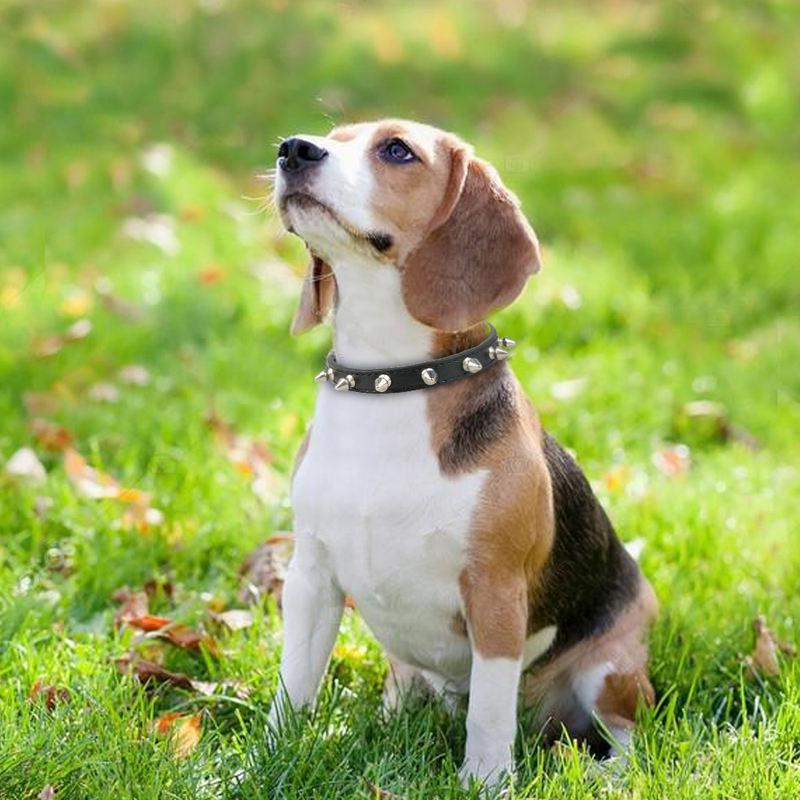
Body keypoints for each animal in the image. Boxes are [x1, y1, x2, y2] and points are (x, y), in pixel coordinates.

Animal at [268, 119, 656, 788]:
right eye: (332, 136)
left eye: (397, 150)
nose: (294, 149)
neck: (390, 382)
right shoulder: (311, 578)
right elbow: (292, 688)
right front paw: (257, 766)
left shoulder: (495, 594)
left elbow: (490, 716)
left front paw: (486, 784)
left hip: (612, 669)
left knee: (625, 732)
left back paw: (607, 775)